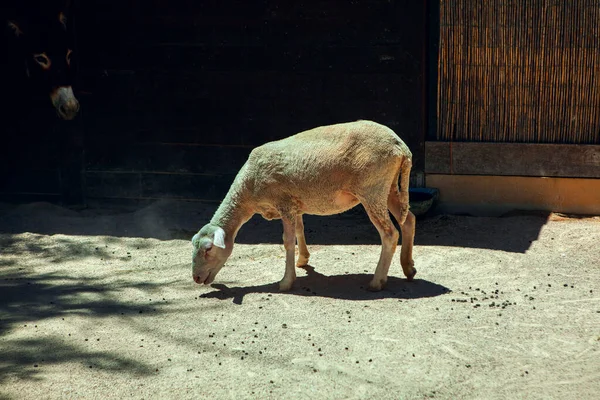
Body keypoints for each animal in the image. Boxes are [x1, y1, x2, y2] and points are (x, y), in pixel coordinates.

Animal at [192, 119, 418, 290]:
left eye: (208, 249)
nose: (195, 278)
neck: (248, 189)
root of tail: (401, 147)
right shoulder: (295, 204)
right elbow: (300, 230)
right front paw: (303, 260)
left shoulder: (284, 202)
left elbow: (287, 241)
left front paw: (286, 282)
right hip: (388, 188)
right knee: (408, 220)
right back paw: (408, 268)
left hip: (372, 189)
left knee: (390, 234)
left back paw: (377, 281)